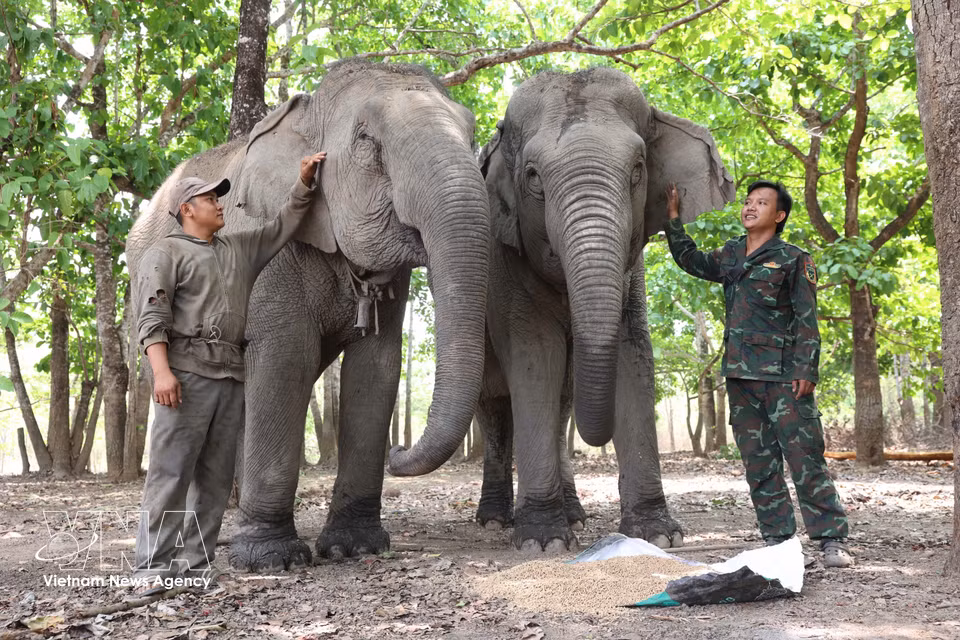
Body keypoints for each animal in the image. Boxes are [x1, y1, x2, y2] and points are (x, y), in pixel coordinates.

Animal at [127, 60, 491, 570]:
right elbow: (285, 359)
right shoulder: (268, 253)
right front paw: (272, 559)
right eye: (367, 140)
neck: (308, 114)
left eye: (473, 132)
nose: (399, 449)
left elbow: (376, 366)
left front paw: (354, 547)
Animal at [460, 67, 734, 551]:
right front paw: (542, 541)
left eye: (638, 169)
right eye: (533, 177)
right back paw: (495, 520)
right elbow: (535, 357)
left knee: (563, 405)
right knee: (493, 407)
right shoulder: (503, 262)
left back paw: (574, 514)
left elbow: (632, 353)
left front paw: (657, 535)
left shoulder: (631, 274)